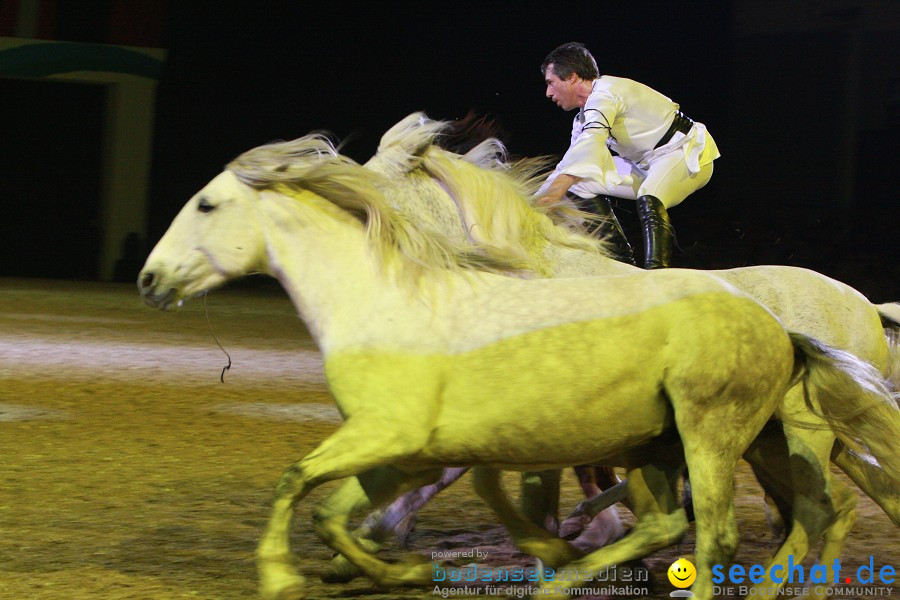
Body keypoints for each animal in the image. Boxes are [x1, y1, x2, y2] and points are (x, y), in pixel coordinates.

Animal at [137, 132, 896, 600]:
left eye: (207, 204)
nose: (150, 278)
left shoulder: (439, 439)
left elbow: (310, 484)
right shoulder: (427, 446)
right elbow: (340, 507)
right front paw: (391, 563)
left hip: (742, 437)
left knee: (759, 524)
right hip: (732, 442)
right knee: (818, 508)